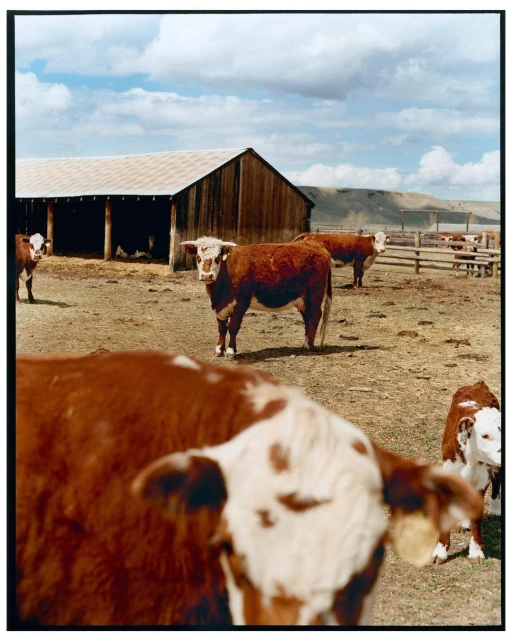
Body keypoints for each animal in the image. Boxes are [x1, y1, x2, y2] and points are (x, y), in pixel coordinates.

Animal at [180, 237, 332, 358]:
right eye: (198, 258)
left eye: (217, 258)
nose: (207, 276)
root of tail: (315, 245)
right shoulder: (220, 306)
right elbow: (222, 328)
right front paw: (219, 350)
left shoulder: (241, 303)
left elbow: (233, 327)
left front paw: (230, 351)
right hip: (304, 300)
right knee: (307, 318)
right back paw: (305, 343)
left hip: (314, 296)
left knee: (314, 317)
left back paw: (309, 346)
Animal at [432, 381, 501, 565]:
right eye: (485, 435)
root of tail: (478, 384)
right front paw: (440, 552)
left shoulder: (482, 478)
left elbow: (477, 516)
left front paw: (476, 552)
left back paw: (495, 509)